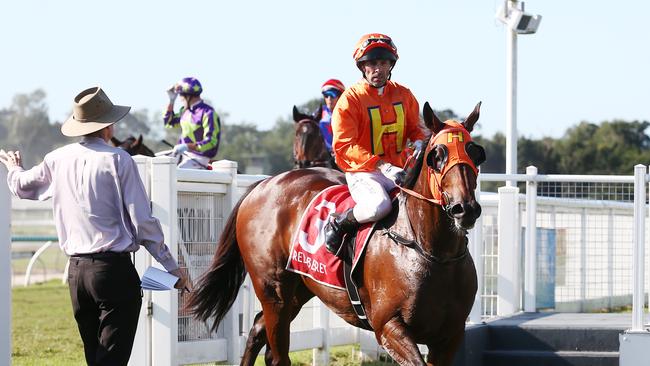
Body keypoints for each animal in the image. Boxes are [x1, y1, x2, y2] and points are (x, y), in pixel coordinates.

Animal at [185, 101, 484, 364]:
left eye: (474, 151)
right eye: (437, 154)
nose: (465, 208)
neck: (431, 251)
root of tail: (263, 184)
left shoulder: (450, 335)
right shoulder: (389, 326)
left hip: (301, 286)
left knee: (259, 332)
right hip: (273, 290)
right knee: (278, 353)